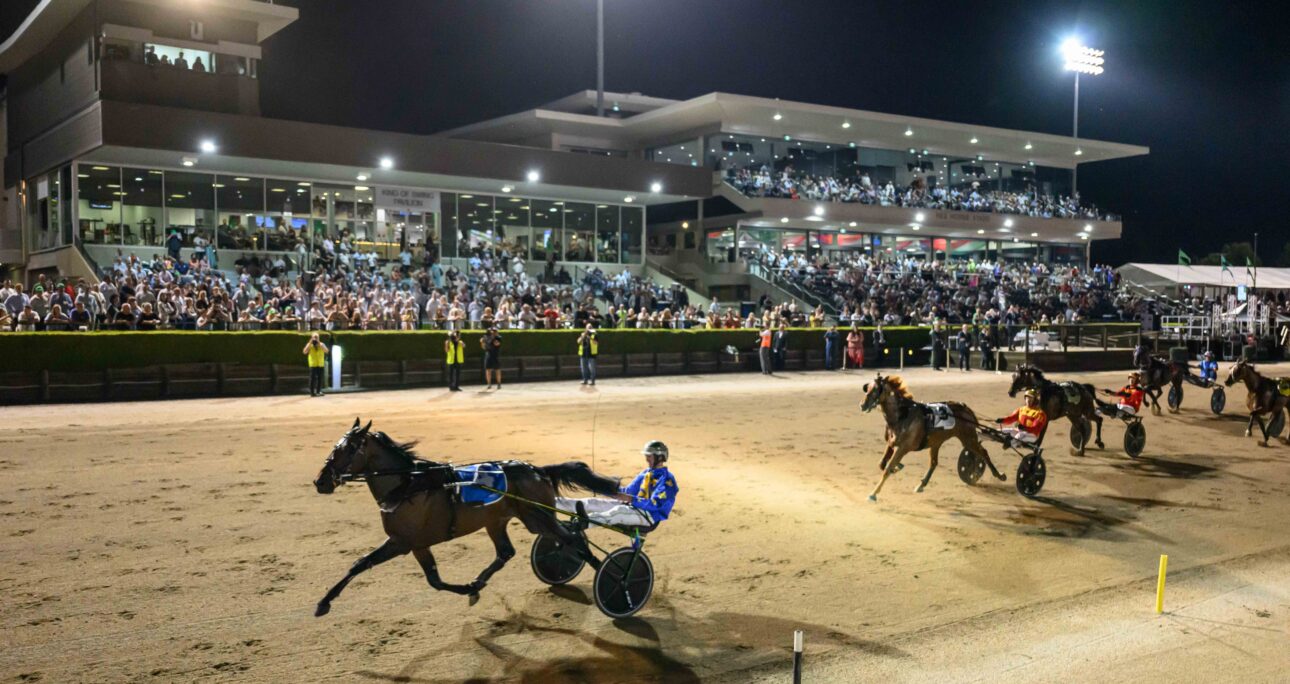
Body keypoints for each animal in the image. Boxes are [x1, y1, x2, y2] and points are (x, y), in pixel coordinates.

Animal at [309, 418, 616, 614]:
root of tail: (536, 469)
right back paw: (480, 580)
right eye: (335, 447)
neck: (408, 484)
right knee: (509, 551)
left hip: (536, 518)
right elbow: (431, 580)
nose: (320, 481)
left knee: (572, 539)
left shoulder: (402, 543)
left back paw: (607, 572)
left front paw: (324, 602)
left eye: (348, 449)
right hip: (499, 520)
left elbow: (362, 564)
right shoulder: (416, 544)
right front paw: (470, 588)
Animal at [866, 371, 1006, 500]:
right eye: (867, 389)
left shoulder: (903, 448)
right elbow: (882, 463)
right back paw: (921, 485)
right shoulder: (892, 443)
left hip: (968, 439)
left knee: (983, 452)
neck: (903, 415)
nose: (863, 405)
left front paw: (873, 494)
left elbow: (888, 468)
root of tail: (965, 409)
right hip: (936, 443)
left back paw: (999, 475)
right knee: (934, 463)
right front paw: (897, 467)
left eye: (876, 390)